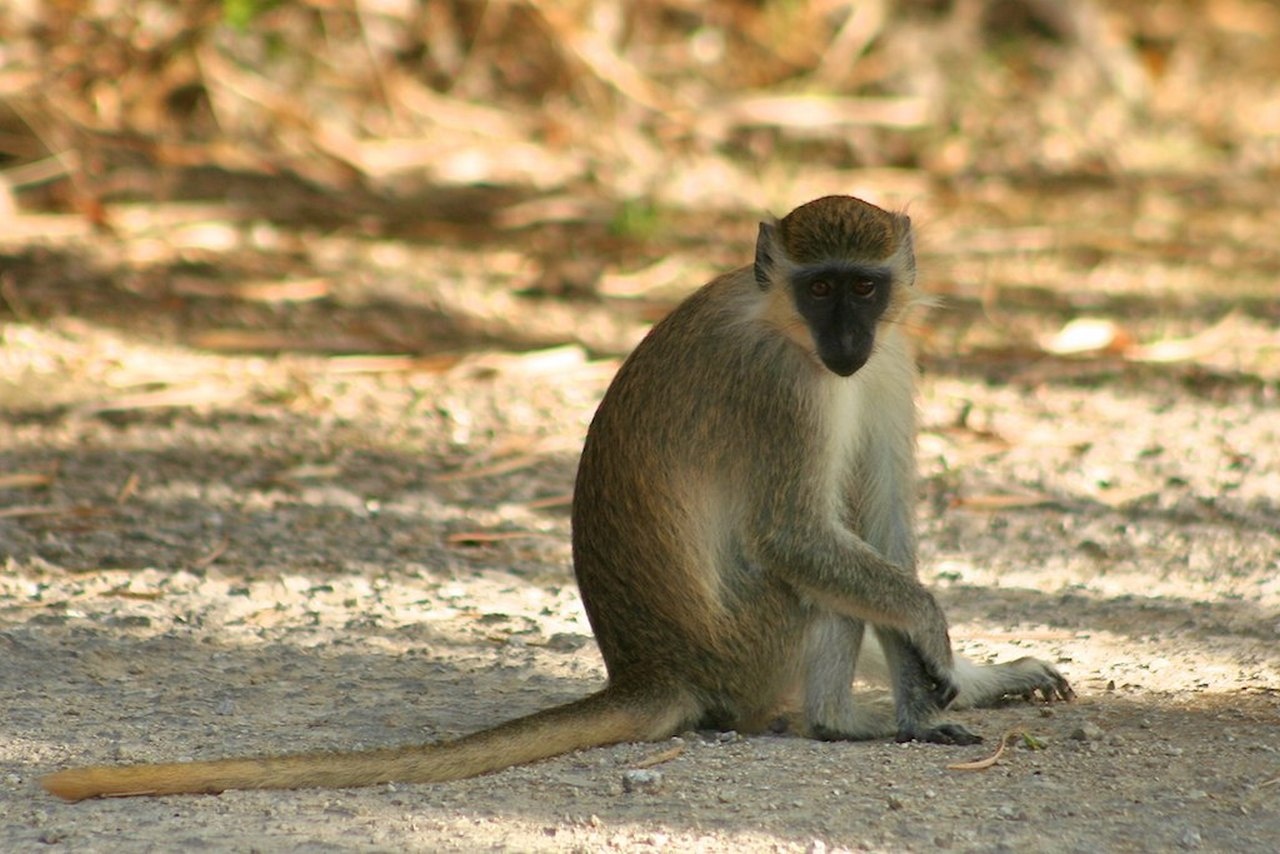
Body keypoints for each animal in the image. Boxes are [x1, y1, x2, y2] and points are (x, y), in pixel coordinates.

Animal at [40, 197, 1070, 804]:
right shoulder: (780, 387)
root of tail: (652, 669)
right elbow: (798, 537)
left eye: (864, 286)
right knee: (816, 585)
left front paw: (961, 678)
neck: (792, 330)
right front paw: (932, 653)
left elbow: (887, 531)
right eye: (822, 291)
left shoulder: (887, 365)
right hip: (750, 648)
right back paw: (840, 725)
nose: (847, 339)